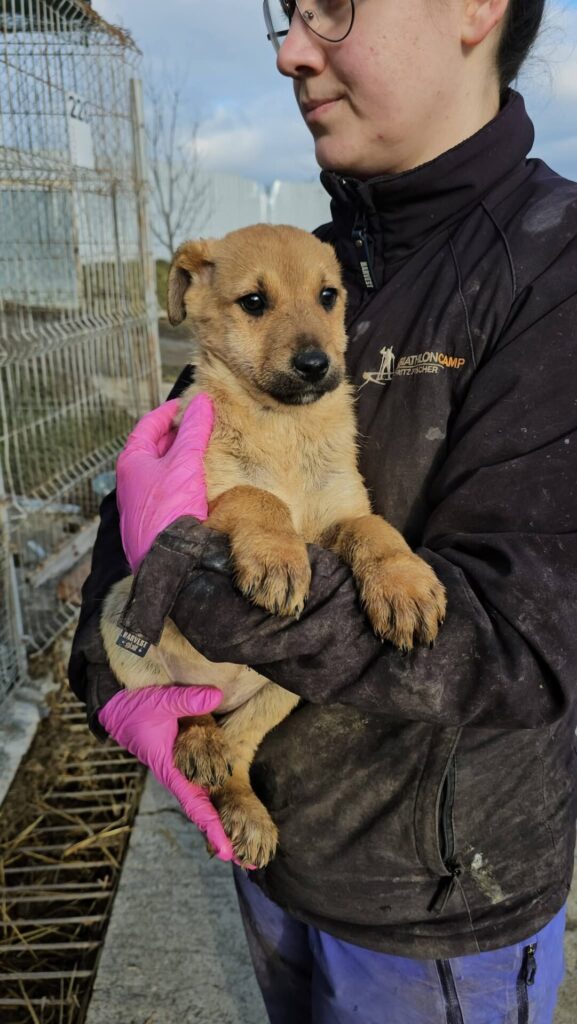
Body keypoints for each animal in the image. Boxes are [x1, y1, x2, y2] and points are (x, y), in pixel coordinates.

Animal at [101, 224, 446, 868]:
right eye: (254, 302)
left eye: (329, 295)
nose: (315, 365)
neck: (284, 426)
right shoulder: (199, 498)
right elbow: (257, 497)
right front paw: (279, 558)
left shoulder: (342, 511)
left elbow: (375, 530)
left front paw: (404, 586)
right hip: (124, 634)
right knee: (181, 711)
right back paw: (197, 744)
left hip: (280, 692)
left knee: (237, 750)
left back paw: (245, 812)